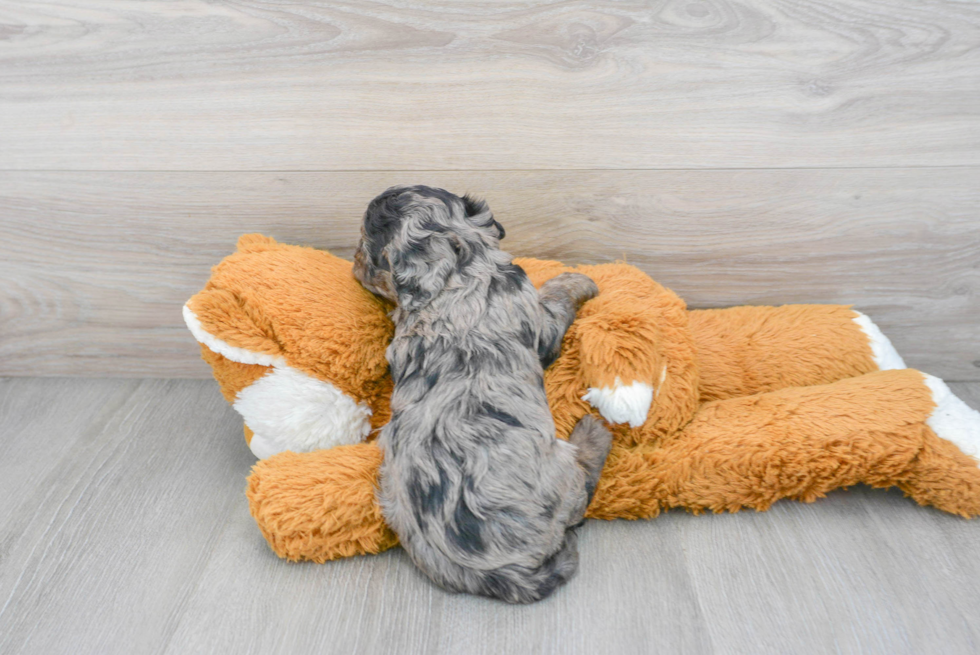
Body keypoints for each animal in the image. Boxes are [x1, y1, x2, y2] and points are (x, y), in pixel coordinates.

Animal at [352, 184, 612, 604]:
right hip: (563, 477)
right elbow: (555, 298)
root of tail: (498, 573)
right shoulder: (541, 325)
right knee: (582, 490)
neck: (458, 271)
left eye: (366, 247)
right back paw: (593, 432)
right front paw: (578, 279)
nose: (353, 260)